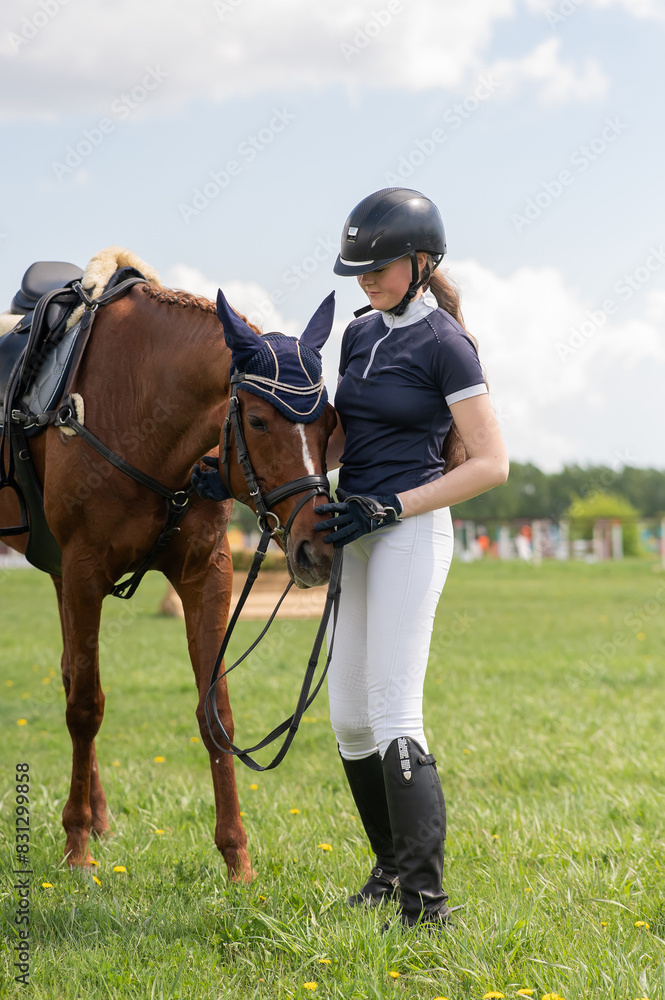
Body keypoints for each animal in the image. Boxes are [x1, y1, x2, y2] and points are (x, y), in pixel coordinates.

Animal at [0, 270, 334, 880]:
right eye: (257, 420)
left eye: (331, 422)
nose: (317, 547)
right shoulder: (84, 570)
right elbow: (86, 708)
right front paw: (76, 848)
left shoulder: (206, 572)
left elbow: (215, 710)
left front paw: (237, 858)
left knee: (68, 670)